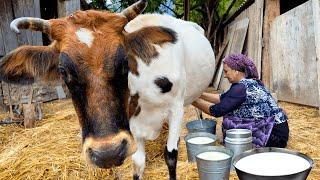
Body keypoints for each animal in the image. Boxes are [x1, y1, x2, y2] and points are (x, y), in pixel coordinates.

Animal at [0, 0, 215, 179]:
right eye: (62, 71)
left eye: (125, 62)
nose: (107, 153)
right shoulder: (132, 124)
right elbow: (138, 163)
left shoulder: (176, 109)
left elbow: (171, 156)